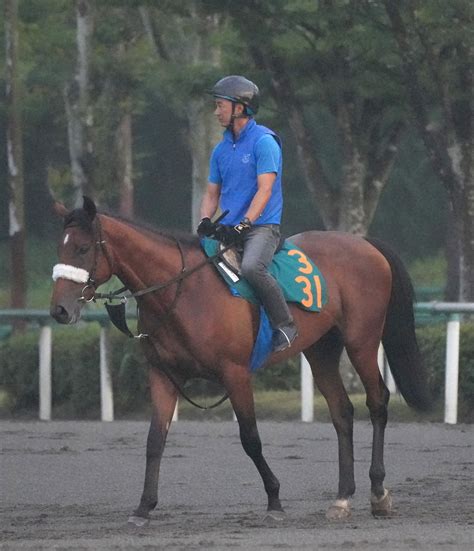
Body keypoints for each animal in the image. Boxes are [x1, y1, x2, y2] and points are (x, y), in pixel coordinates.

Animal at [50, 197, 432, 528]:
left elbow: (250, 438)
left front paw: (274, 499)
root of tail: (364, 244)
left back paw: (378, 493)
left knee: (377, 402)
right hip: (321, 349)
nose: (59, 310)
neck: (183, 292)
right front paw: (144, 507)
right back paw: (342, 497)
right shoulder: (163, 375)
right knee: (342, 411)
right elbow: (155, 439)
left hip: (361, 342)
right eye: (61, 247)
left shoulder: (235, 374)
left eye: (83, 248)